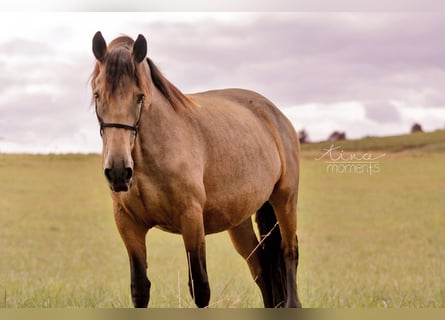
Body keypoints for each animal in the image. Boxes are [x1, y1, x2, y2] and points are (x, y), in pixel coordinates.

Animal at [89, 31, 302, 308]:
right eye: (97, 95)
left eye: (140, 96)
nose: (118, 171)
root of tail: (274, 113)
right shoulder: (128, 224)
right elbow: (140, 289)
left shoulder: (191, 220)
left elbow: (200, 288)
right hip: (240, 221)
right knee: (262, 270)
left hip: (284, 200)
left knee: (289, 252)